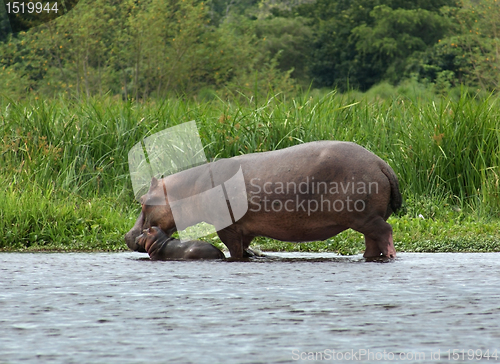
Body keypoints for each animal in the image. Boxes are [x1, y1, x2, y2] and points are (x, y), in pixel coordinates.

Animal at [125, 141, 402, 258]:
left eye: (143, 200)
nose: (128, 235)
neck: (186, 190)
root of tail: (382, 163)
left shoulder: (228, 227)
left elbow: (234, 251)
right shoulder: (245, 228)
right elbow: (245, 247)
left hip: (364, 217)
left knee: (385, 232)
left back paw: (390, 257)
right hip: (366, 219)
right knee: (372, 241)